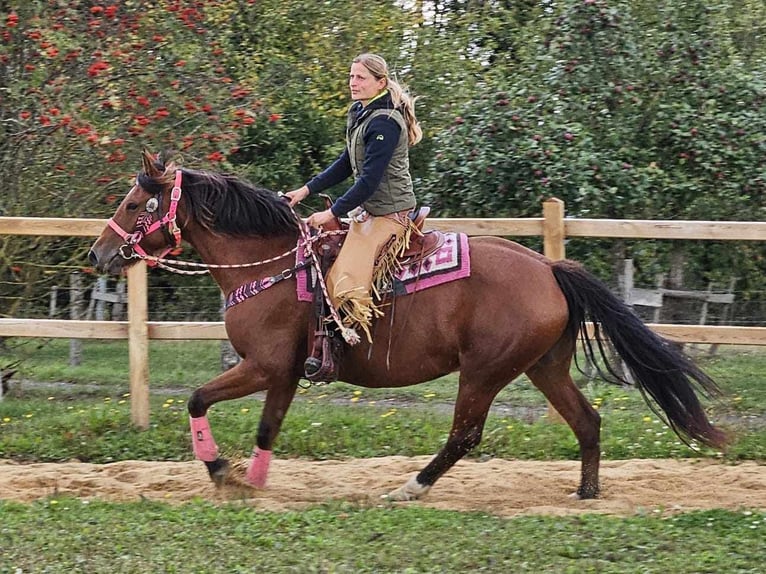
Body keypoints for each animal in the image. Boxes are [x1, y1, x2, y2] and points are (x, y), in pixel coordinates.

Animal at [87, 152, 728, 504]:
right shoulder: (286, 373)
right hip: (543, 367)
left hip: (486, 371)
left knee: (464, 435)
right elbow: (269, 428)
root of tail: (550, 267)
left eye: (135, 206)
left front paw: (223, 473)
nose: (99, 255)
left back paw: (409, 487)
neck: (270, 266)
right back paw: (587, 494)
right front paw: (254, 483)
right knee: (586, 421)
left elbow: (198, 399)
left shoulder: (264, 366)